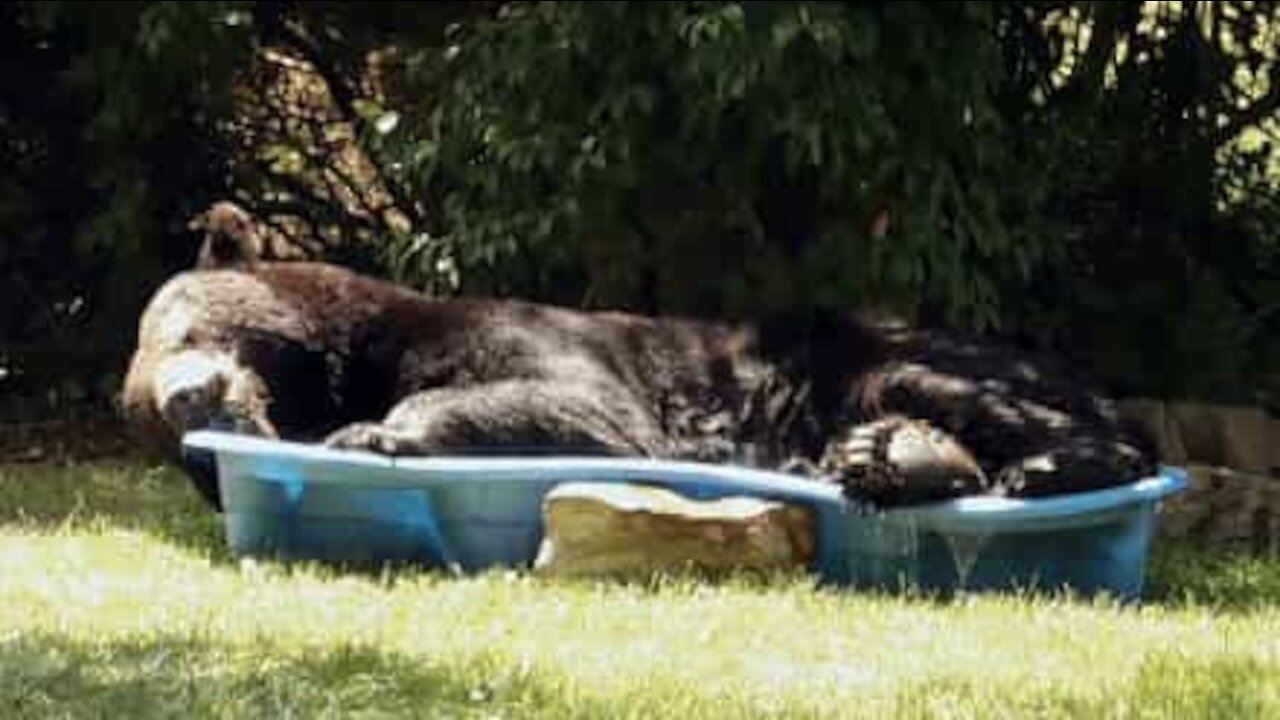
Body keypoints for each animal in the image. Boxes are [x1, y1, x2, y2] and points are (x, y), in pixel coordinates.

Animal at [122, 199, 1162, 509]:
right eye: (137, 416)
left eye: (178, 330)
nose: (181, 400)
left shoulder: (531, 340)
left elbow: (570, 403)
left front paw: (372, 433)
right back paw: (895, 457)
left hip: (889, 347)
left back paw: (1043, 462)